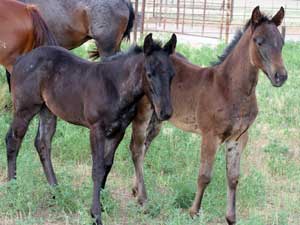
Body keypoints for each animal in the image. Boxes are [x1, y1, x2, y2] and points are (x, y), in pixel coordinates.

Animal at [7, 33, 177, 225]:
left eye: (172, 75)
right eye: (149, 74)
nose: (165, 112)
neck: (115, 86)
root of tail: (20, 60)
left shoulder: (118, 131)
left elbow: (107, 166)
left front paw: (101, 206)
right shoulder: (96, 129)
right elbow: (97, 168)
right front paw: (96, 214)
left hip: (47, 110)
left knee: (42, 144)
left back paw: (57, 192)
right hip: (25, 109)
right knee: (13, 141)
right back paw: (13, 189)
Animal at [129, 6, 288, 224]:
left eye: (281, 42)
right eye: (259, 41)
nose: (281, 76)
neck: (229, 88)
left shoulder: (239, 138)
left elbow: (233, 177)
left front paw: (231, 217)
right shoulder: (210, 135)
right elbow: (204, 176)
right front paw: (193, 212)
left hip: (157, 118)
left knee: (144, 147)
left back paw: (137, 190)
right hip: (143, 113)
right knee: (136, 148)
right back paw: (142, 198)